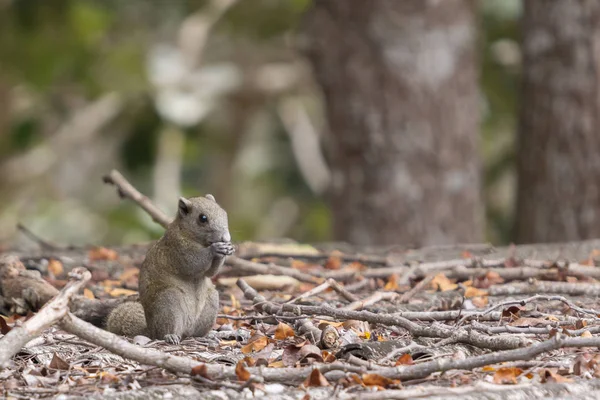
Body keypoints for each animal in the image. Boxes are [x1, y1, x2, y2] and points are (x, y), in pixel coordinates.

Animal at [105, 195, 232, 344]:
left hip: (210, 303)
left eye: (224, 212)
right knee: (164, 331)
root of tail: (151, 330)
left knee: (195, 332)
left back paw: (206, 336)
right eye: (203, 218)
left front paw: (227, 248)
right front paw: (215, 249)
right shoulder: (177, 249)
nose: (226, 238)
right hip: (169, 301)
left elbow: (210, 273)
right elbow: (192, 263)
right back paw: (170, 336)